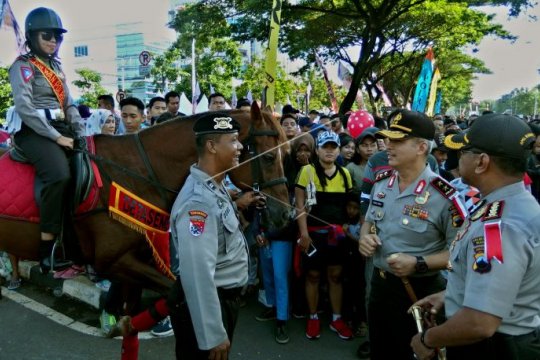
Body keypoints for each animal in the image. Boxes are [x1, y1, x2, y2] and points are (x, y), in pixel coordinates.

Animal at [0, 103, 292, 296]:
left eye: (287, 153)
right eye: (268, 157)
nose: (286, 214)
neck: (138, 172)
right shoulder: (113, 261)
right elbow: (175, 290)